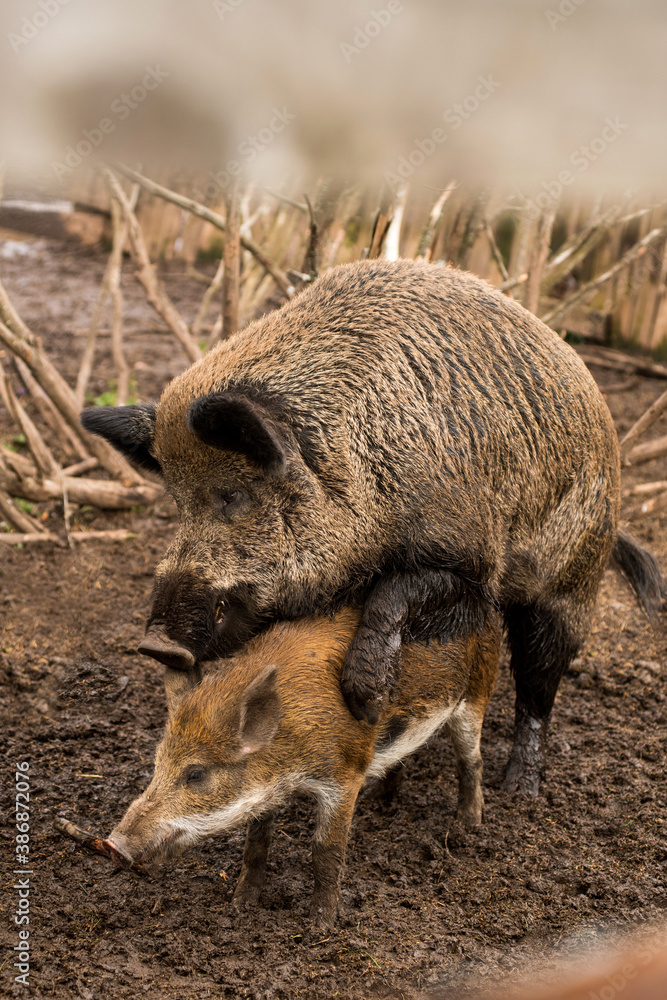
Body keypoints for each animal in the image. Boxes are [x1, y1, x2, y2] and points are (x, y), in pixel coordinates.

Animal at [81, 258, 666, 796]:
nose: (156, 643)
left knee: (540, 682)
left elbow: (396, 594)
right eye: (177, 502)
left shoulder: (471, 559)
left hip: (570, 583)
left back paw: (518, 791)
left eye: (232, 495)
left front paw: (364, 698)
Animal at [104, 607, 500, 926]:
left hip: (477, 692)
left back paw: (468, 825)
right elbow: (256, 844)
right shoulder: (266, 791)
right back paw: (380, 804)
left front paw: (321, 926)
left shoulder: (344, 775)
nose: (112, 845)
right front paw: (239, 907)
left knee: (472, 760)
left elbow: (325, 850)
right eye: (157, 763)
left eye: (196, 773)